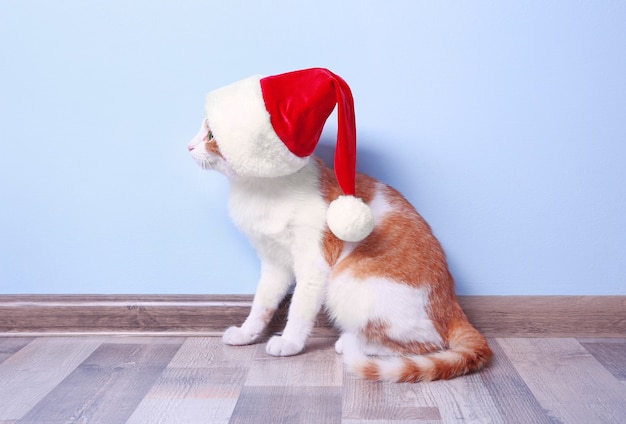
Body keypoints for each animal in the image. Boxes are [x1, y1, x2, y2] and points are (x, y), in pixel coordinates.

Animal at [188, 118, 490, 380]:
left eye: (211, 135)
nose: (189, 146)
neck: (260, 190)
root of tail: (451, 304)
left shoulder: (314, 262)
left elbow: (299, 307)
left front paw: (289, 342)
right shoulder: (274, 262)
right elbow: (262, 302)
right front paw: (246, 333)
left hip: (347, 279)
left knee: (429, 343)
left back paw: (354, 344)